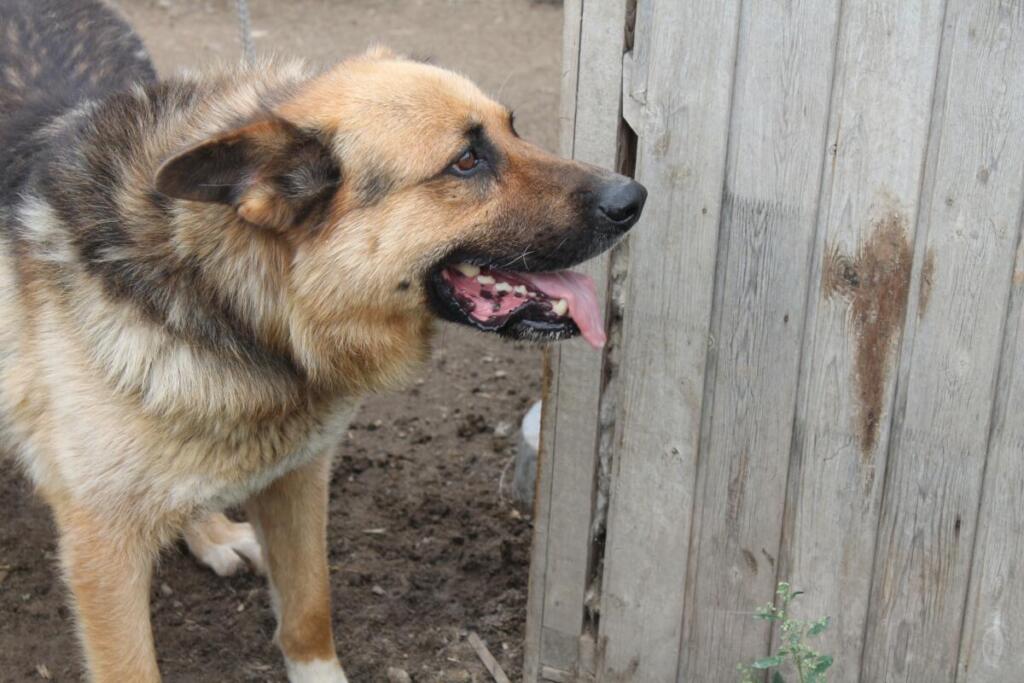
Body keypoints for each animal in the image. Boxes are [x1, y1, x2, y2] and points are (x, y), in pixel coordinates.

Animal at [0, 1, 638, 679]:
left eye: (513, 130)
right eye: (466, 161)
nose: (635, 195)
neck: (237, 304)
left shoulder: (298, 476)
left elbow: (309, 607)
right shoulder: (102, 549)